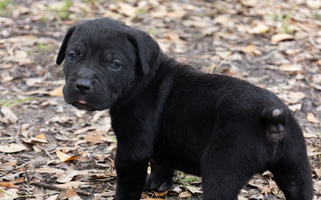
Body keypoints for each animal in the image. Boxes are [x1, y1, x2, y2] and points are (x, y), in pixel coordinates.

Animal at [55, 17, 312, 200]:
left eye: (115, 65)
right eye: (72, 56)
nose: (82, 85)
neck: (144, 80)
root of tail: (272, 117)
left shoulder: (132, 149)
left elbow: (127, 184)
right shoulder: (160, 144)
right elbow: (161, 163)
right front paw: (157, 184)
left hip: (222, 168)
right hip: (296, 168)